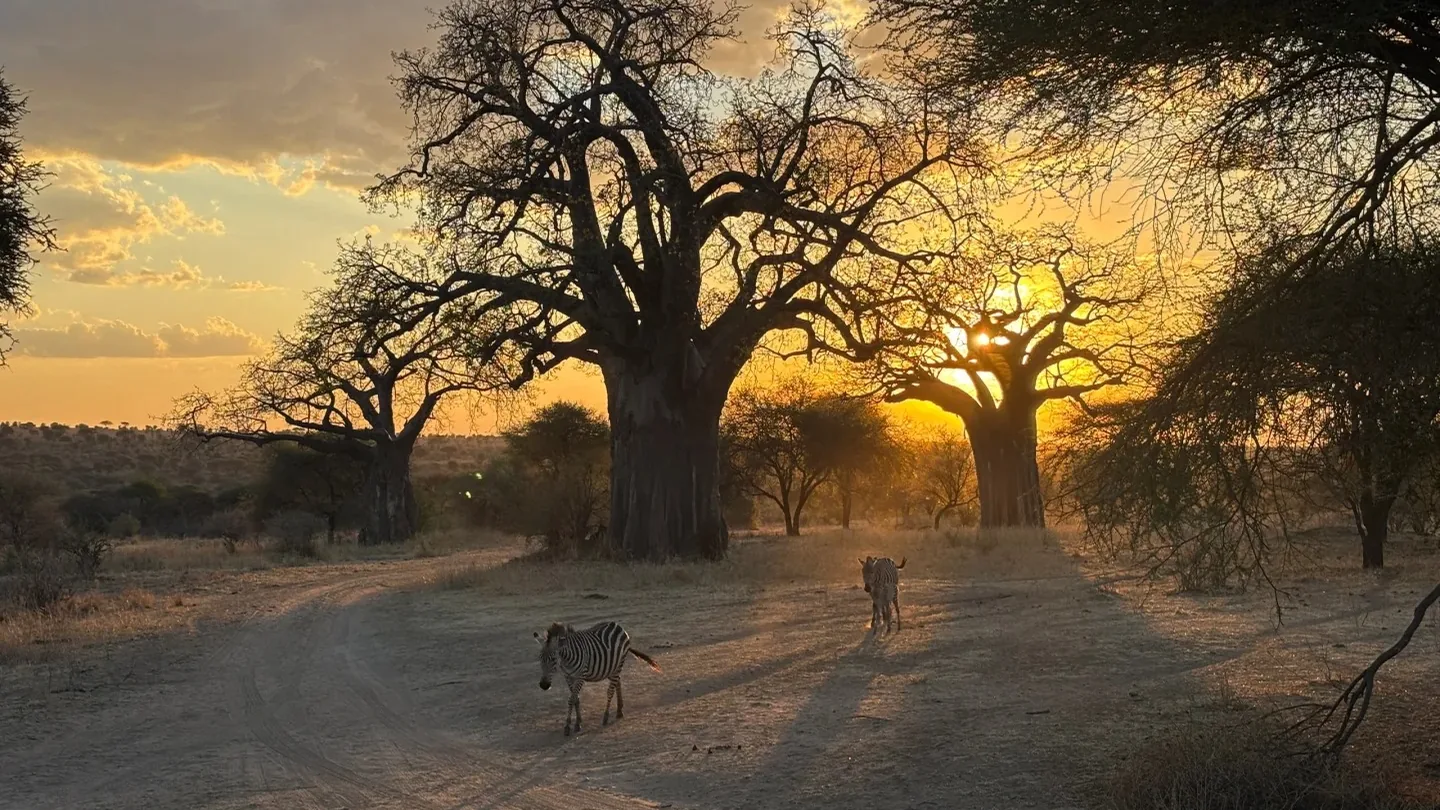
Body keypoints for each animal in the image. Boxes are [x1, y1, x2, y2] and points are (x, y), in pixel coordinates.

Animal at [533, 620, 661, 737]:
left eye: (553, 659)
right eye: (540, 658)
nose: (544, 685)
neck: (566, 660)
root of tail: (617, 625)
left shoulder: (580, 676)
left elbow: (571, 699)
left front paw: (568, 726)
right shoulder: (568, 677)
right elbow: (576, 699)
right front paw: (578, 722)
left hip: (618, 664)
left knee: (610, 691)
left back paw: (606, 716)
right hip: (610, 668)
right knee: (618, 682)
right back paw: (619, 711)